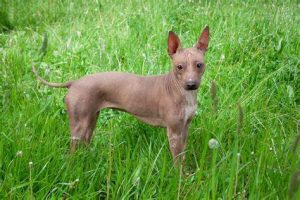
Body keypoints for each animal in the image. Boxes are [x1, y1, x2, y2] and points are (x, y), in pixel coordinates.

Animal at [32, 25, 210, 165]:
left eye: (199, 65)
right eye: (179, 67)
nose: (191, 84)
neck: (181, 92)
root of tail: (74, 82)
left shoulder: (184, 128)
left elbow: (183, 156)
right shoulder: (174, 132)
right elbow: (178, 161)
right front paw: (181, 180)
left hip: (90, 121)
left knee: (85, 143)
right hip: (79, 126)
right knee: (71, 153)